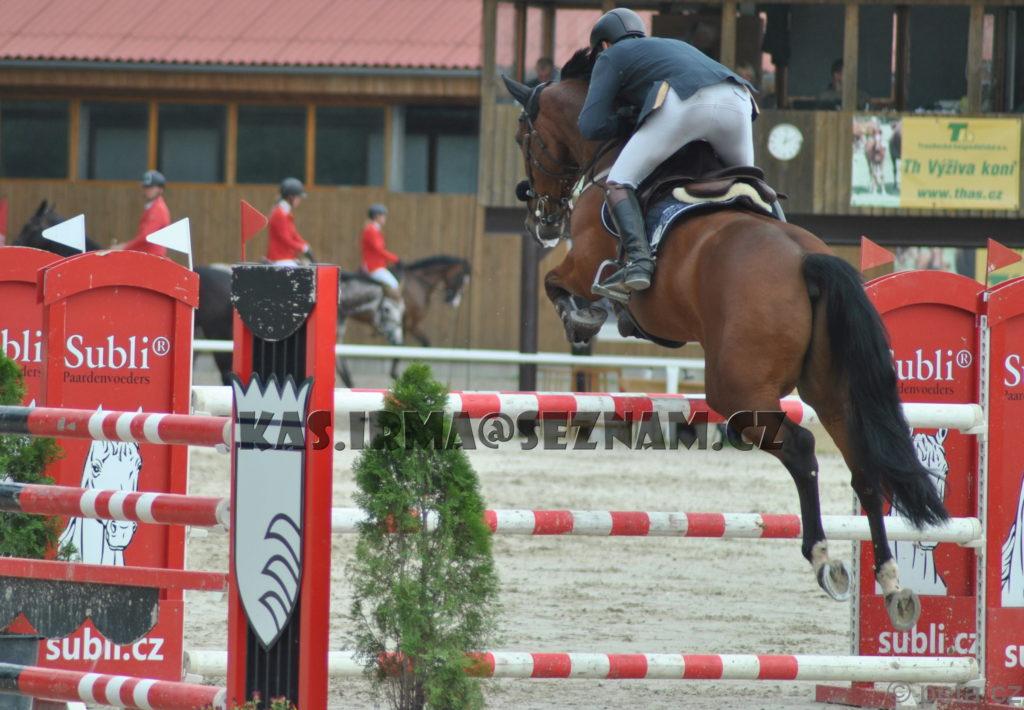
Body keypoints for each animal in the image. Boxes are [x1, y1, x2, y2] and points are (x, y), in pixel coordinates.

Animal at [501, 49, 947, 631]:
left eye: (524, 136)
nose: (540, 215)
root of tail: (807, 260)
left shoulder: (581, 262)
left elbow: (559, 286)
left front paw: (586, 317)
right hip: (831, 390)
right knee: (865, 468)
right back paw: (892, 585)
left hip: (738, 390)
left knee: (800, 448)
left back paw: (824, 559)